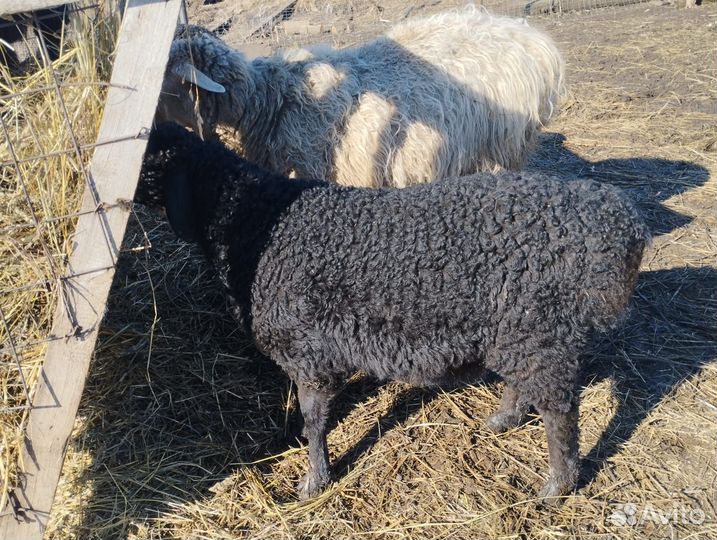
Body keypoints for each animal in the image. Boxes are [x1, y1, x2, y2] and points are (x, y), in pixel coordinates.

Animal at [136, 123, 648, 501]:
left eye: (148, 161)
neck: (258, 218)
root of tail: (618, 223)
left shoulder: (308, 351)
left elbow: (313, 420)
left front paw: (313, 482)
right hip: (523, 333)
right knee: (528, 386)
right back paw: (503, 421)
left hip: (540, 330)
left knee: (560, 412)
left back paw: (556, 487)